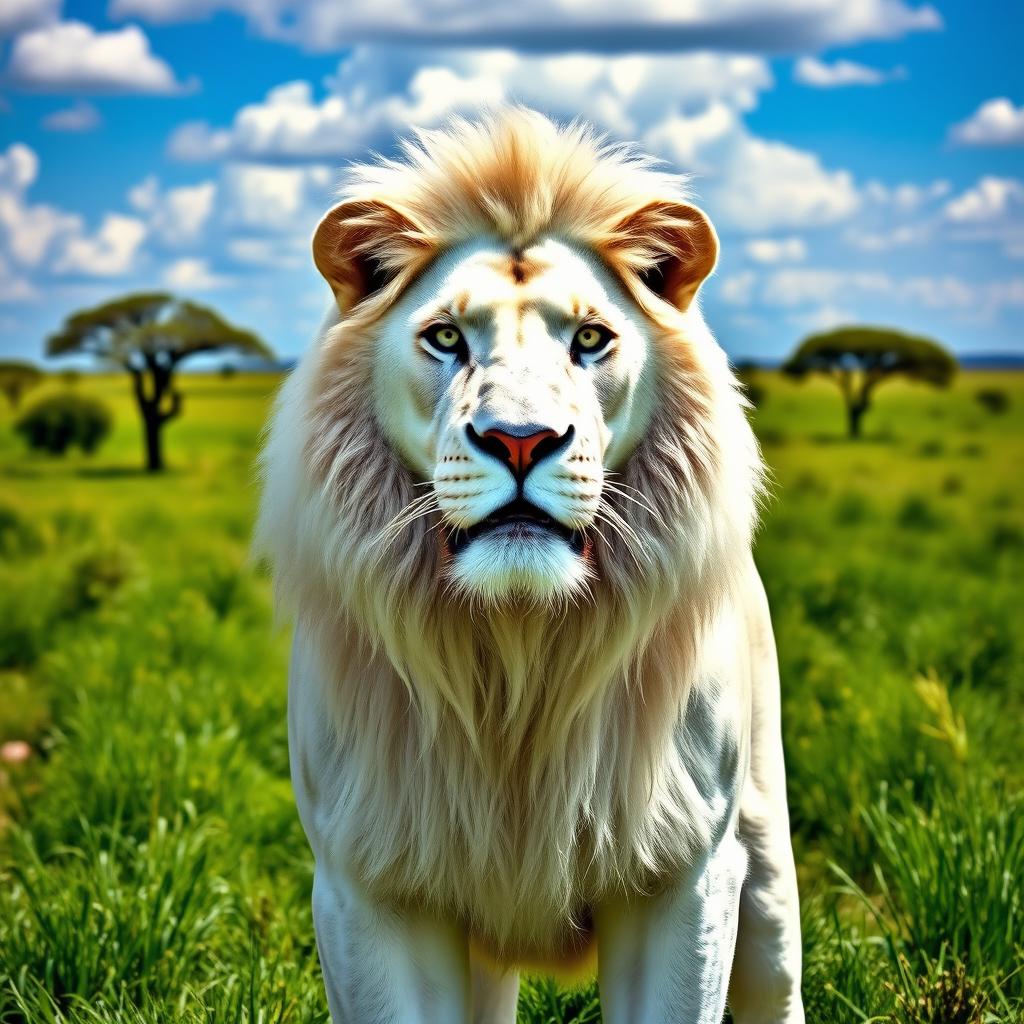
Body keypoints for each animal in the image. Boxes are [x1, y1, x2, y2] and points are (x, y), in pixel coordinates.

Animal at [256, 107, 804, 1023]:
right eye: (445, 337)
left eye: (591, 339)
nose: (520, 439)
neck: (517, 661)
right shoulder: (370, 883)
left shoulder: (684, 874)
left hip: (763, 875)